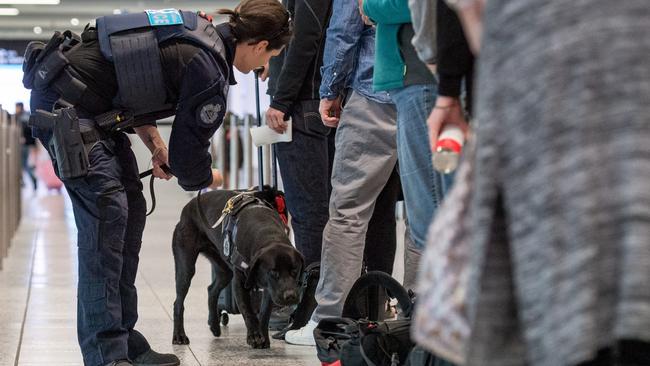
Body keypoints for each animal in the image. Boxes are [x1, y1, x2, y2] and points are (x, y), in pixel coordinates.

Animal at [172, 189, 304, 348]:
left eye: (295, 271)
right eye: (274, 272)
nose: (290, 296)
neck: (268, 235)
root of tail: (188, 206)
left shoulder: (269, 289)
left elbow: (264, 314)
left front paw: (263, 337)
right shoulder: (240, 283)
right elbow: (248, 312)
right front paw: (254, 336)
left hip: (224, 269)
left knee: (212, 290)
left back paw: (214, 325)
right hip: (186, 267)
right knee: (178, 303)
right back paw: (179, 336)